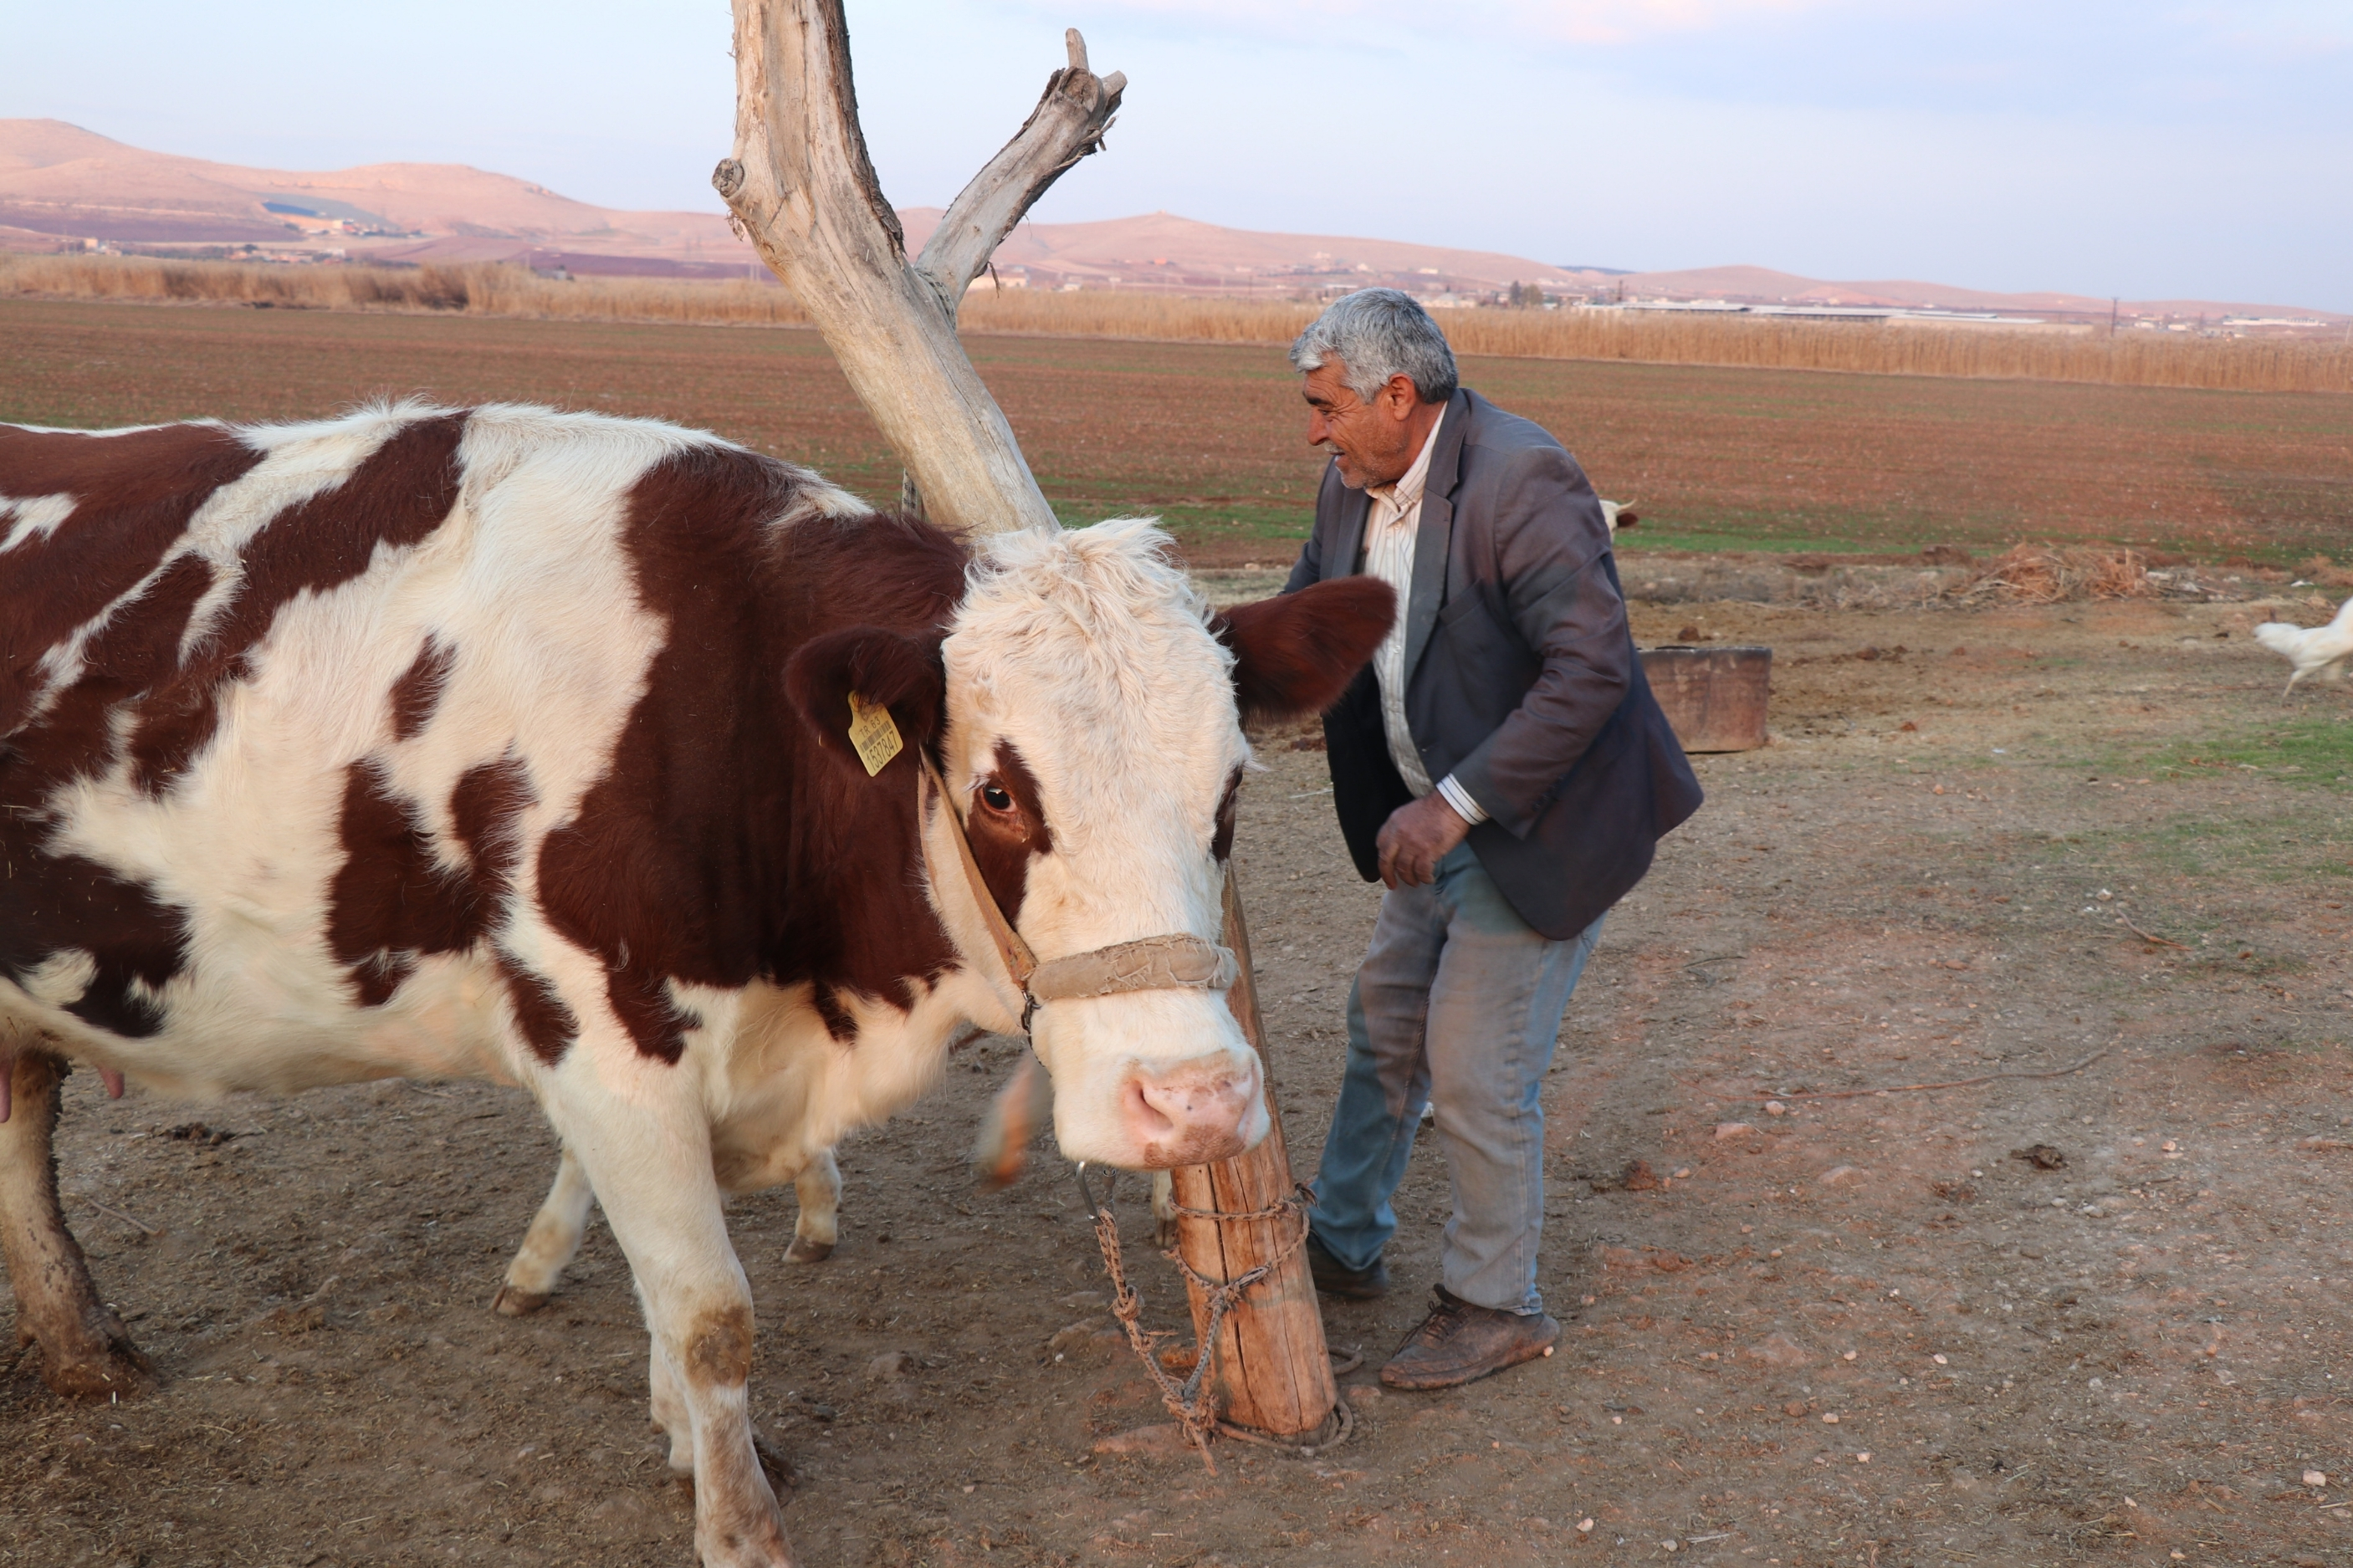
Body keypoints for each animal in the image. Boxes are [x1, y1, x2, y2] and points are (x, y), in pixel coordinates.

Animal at [0, 409, 1384, 1568]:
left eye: (1232, 784)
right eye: (997, 789)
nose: (1193, 1100)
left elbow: (672, 1306)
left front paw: (691, 1444)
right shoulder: (605, 1044)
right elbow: (710, 1309)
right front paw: (739, 1523)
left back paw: (84, 1345)